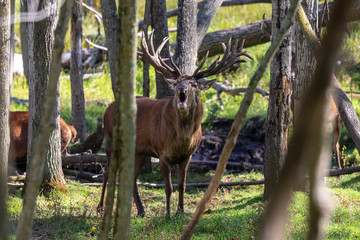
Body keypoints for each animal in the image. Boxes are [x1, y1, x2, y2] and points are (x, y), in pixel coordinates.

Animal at [97, 34, 252, 218]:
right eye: (177, 82)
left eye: (194, 84)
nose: (181, 89)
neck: (183, 138)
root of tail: (107, 108)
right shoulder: (162, 153)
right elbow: (168, 187)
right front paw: (168, 214)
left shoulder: (187, 156)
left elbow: (181, 186)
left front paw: (181, 211)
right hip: (109, 138)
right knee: (107, 172)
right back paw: (101, 208)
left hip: (139, 151)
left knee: (131, 177)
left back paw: (141, 210)